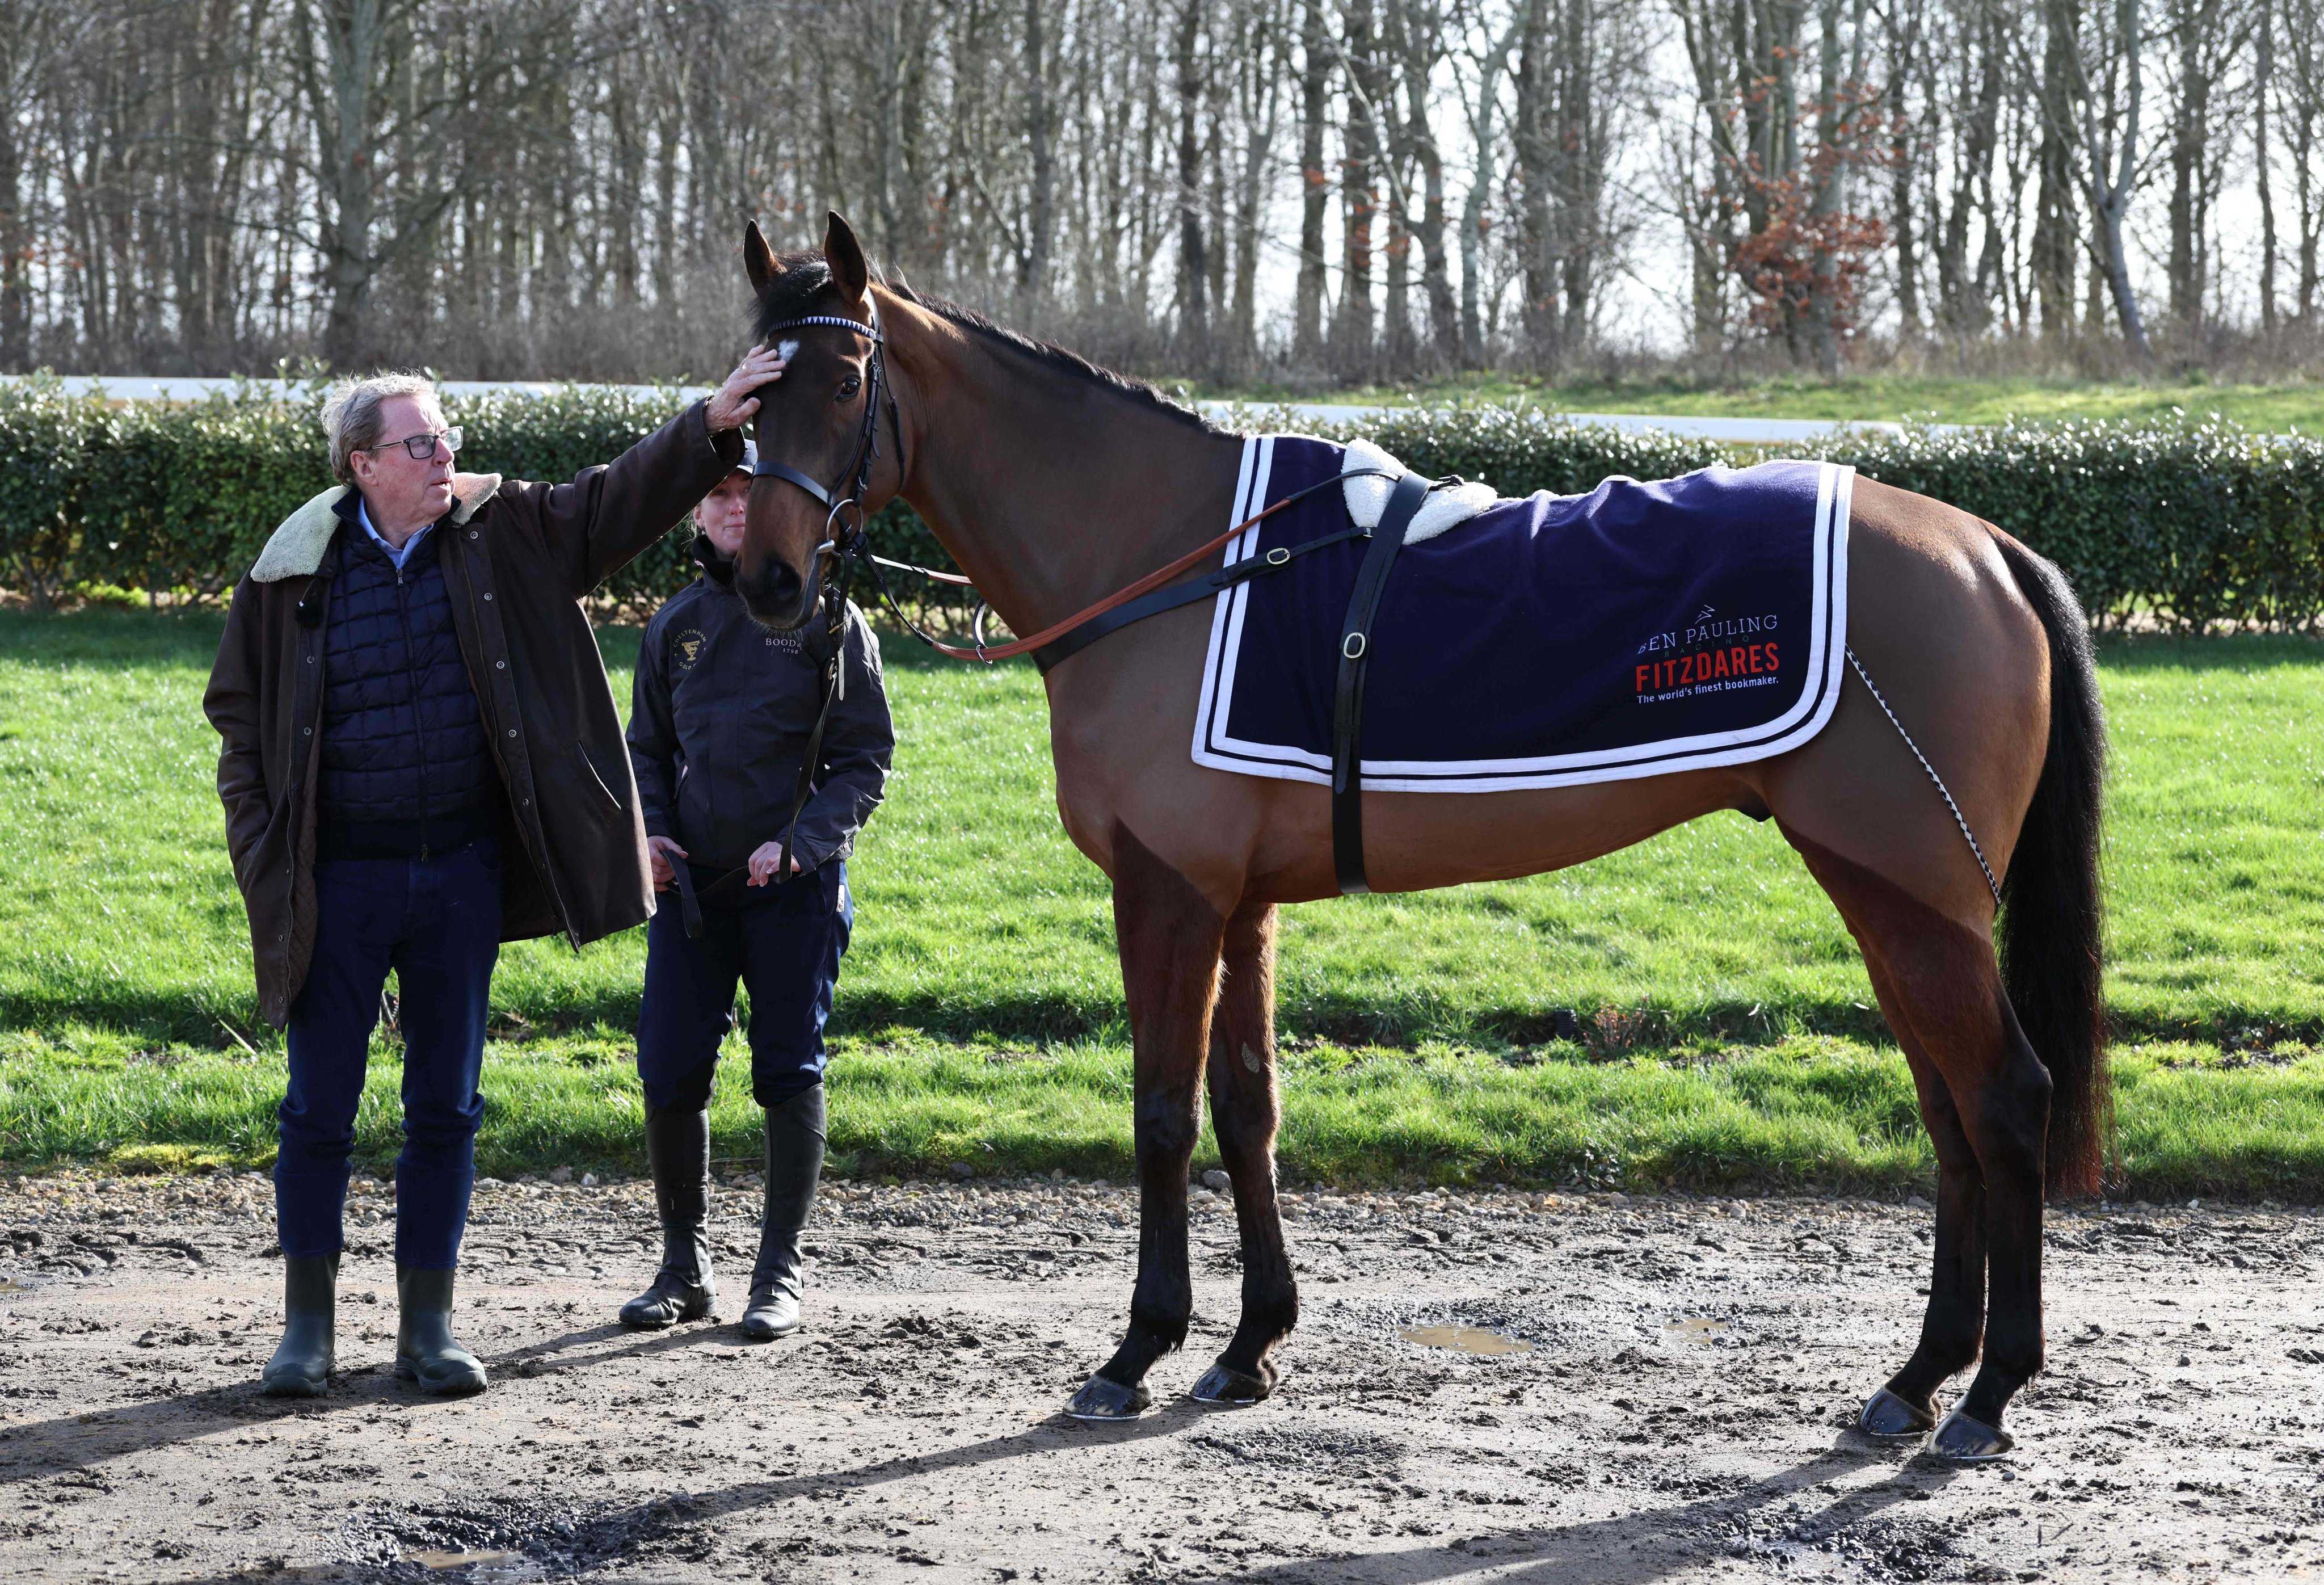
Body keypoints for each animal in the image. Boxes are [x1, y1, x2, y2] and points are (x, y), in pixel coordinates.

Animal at [730, 211, 2107, 1463]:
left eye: (842, 381)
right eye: (749, 391)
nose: (769, 582)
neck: (1177, 564)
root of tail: (1985, 545)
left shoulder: (1167, 891)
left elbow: (1163, 1111)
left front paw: (1137, 1349)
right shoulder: (1241, 901)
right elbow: (1246, 1106)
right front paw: (1249, 1345)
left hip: (1914, 897)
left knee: (2004, 1098)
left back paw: (1987, 1394)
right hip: (1886, 895)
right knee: (1948, 1113)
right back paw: (1918, 1377)